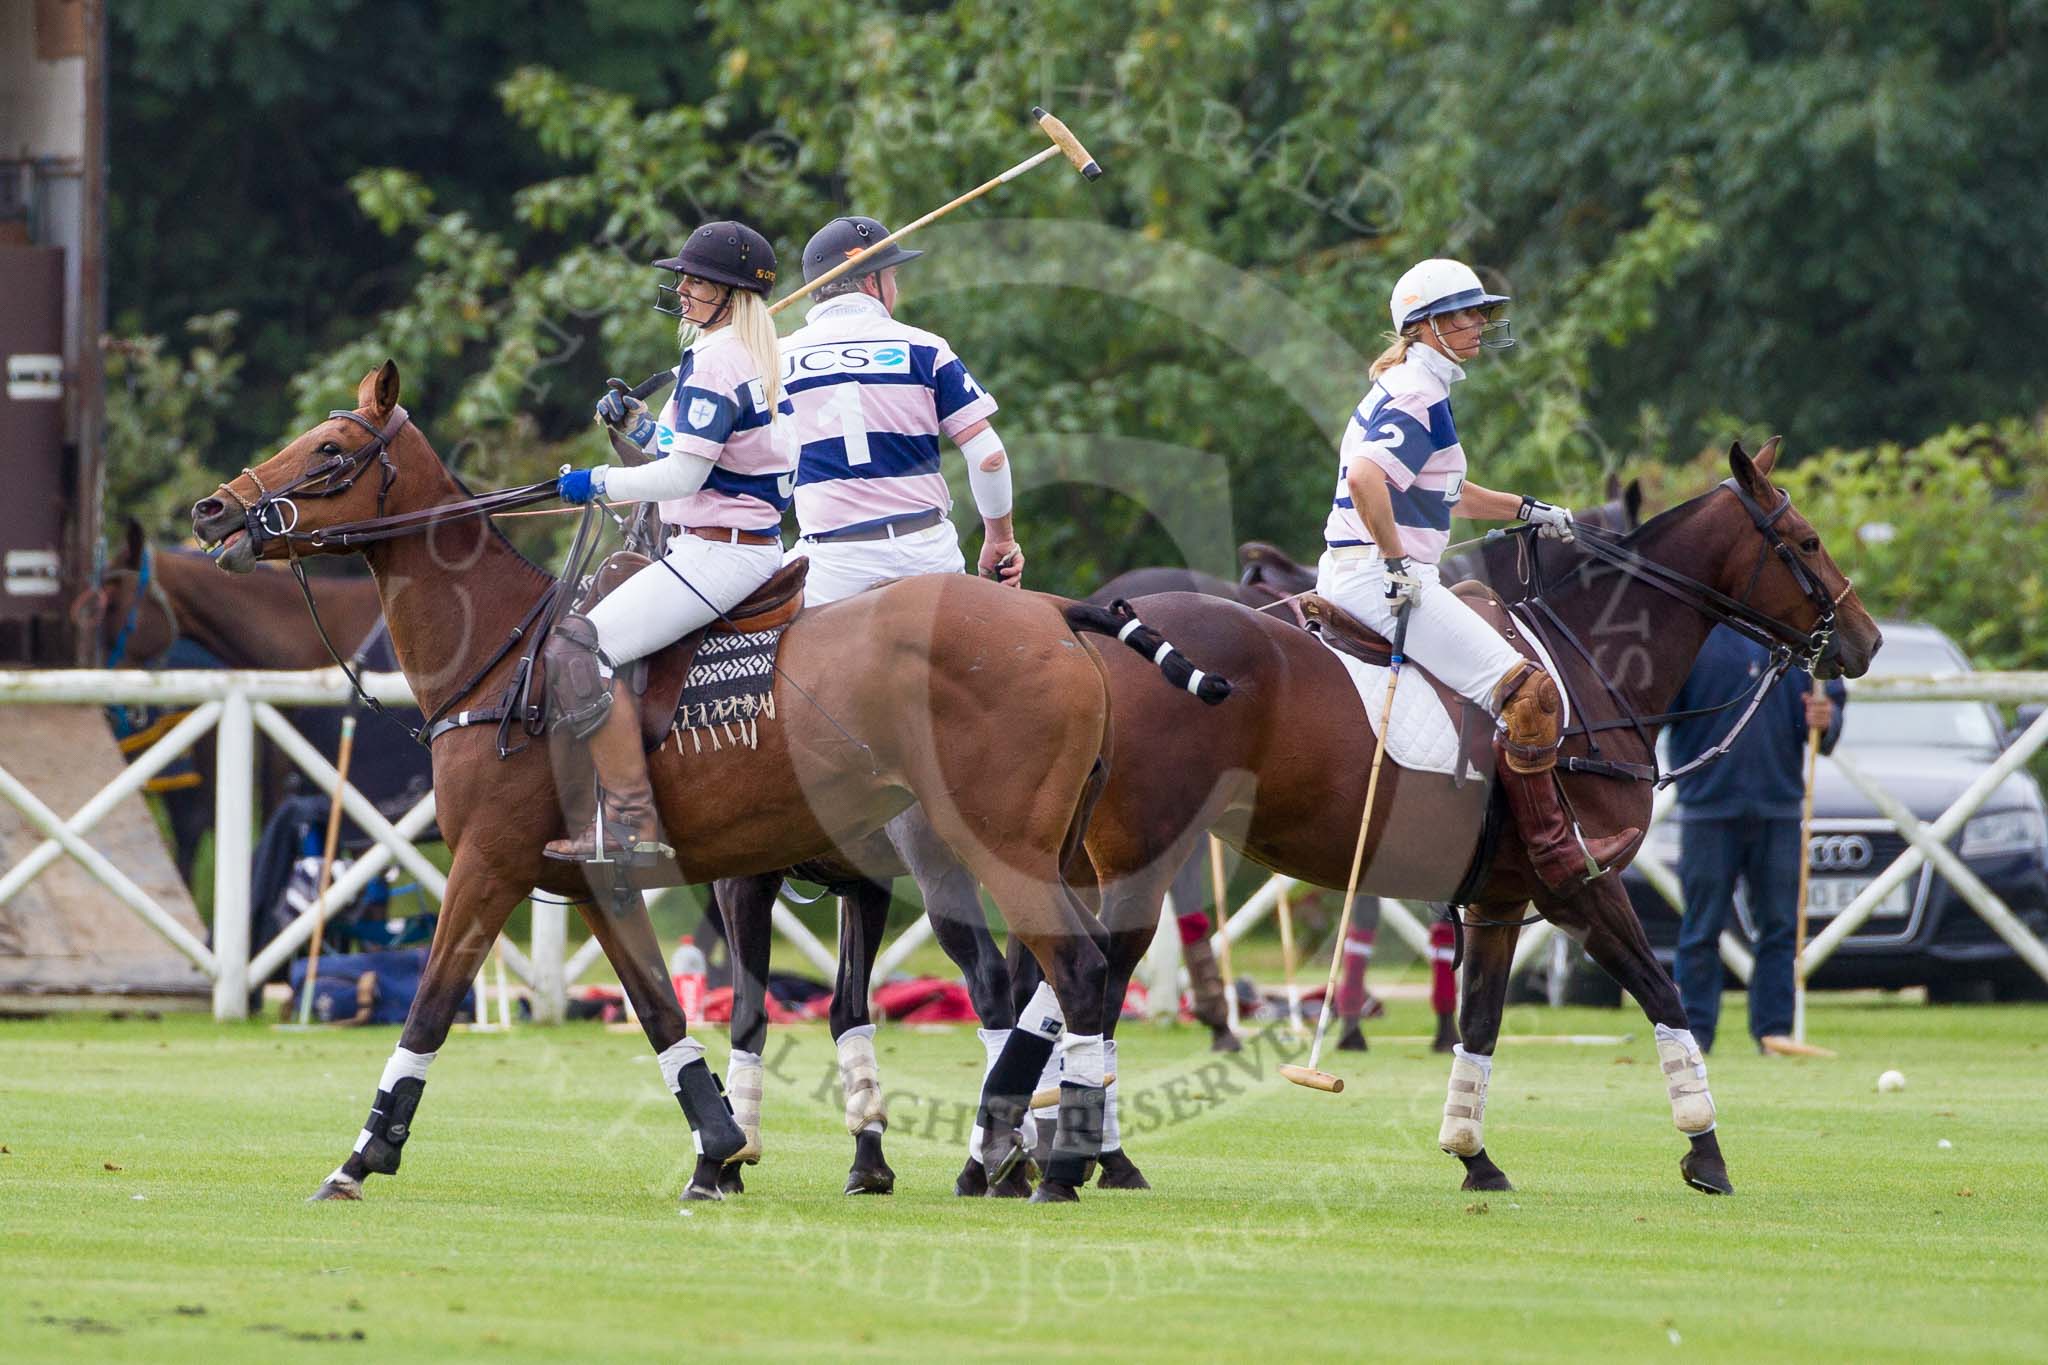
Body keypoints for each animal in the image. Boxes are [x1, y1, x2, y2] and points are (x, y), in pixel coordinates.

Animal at [192, 362, 1212, 1203]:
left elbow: (434, 1004)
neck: (502, 656)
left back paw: (1036, 1158)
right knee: (1078, 971)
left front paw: (361, 1156)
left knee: (1068, 970)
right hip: (1043, 846)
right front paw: (721, 1148)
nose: (214, 511)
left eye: (328, 449)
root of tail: (1059, 615)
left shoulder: (490, 859)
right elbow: (661, 1010)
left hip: (990, 846)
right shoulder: (592, 874)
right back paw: (1040, 1149)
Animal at [983, 439, 1875, 1195]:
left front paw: (1473, 1154)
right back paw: (1073, 1160)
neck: (1589, 662)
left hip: (1084, 854)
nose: (1862, 643)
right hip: (1146, 851)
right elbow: (1664, 992)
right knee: (1093, 983)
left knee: (1051, 982)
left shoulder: (1498, 898)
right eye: (1805, 539)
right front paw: (1706, 1153)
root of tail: (1090, 624)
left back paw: (1040, 1154)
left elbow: (1480, 1021)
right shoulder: (1580, 881)